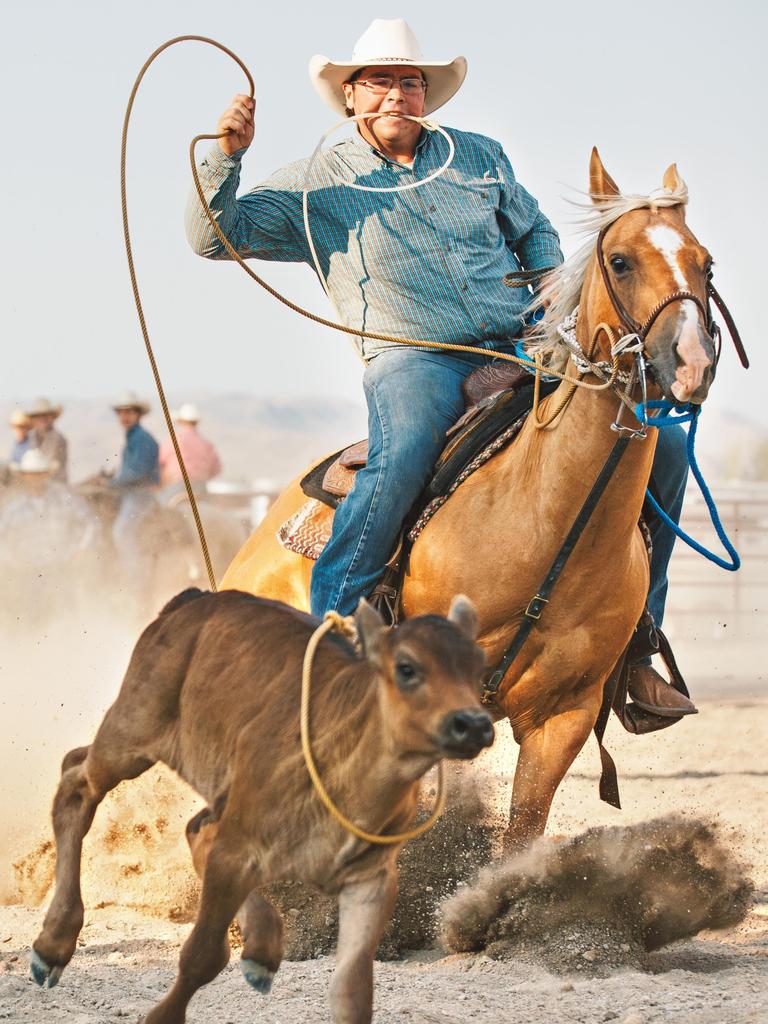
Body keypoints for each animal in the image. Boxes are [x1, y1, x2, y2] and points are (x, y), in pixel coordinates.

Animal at [30, 589, 493, 1019]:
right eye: (407, 667)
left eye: (477, 666)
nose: (473, 724)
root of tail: (194, 600)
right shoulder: (235, 852)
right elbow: (201, 956)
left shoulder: (371, 881)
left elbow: (352, 991)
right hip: (132, 729)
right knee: (76, 781)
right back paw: (52, 946)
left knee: (195, 827)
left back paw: (262, 949)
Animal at [219, 148, 720, 843]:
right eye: (620, 260)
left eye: (706, 262)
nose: (692, 363)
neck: (547, 525)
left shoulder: (563, 717)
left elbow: (519, 836)